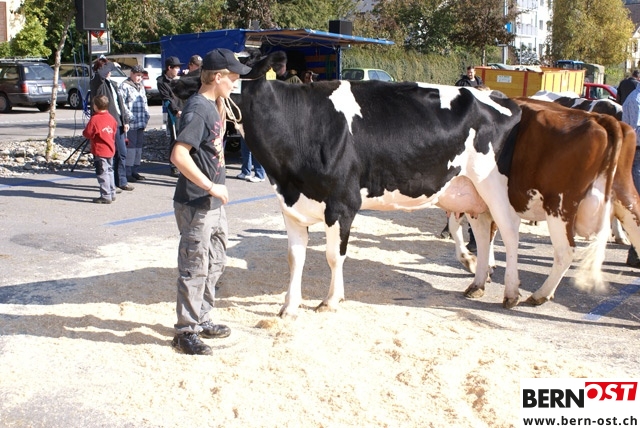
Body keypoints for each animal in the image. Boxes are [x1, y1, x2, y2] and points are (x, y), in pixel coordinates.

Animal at [228, 51, 524, 317]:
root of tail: (501, 99)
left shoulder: (342, 204)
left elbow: (334, 256)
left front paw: (331, 300)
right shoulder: (291, 205)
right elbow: (294, 257)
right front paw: (289, 307)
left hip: (494, 185)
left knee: (509, 232)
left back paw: (511, 292)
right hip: (471, 191)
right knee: (483, 232)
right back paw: (477, 281)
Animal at [449, 98, 640, 305]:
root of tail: (599, 119)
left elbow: (475, 233)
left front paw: (472, 266)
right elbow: (480, 232)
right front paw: (485, 270)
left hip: (559, 203)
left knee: (565, 251)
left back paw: (540, 294)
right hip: (624, 196)